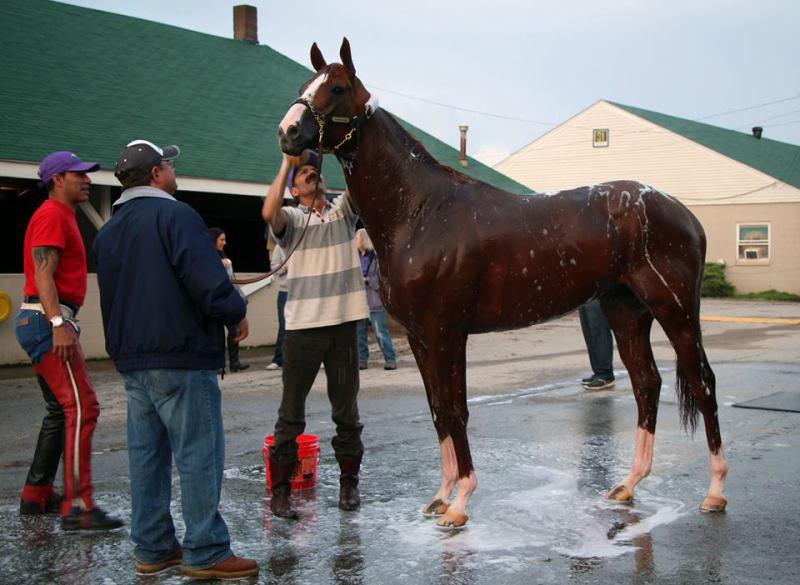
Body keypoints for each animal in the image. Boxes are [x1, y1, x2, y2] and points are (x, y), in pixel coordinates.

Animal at [278, 38, 728, 528]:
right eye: (303, 86)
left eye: (337, 88)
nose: (287, 132)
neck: (420, 211)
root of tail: (682, 212)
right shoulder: (419, 338)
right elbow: (438, 411)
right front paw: (441, 495)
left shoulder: (447, 333)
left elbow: (456, 410)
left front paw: (459, 505)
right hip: (625, 312)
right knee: (647, 384)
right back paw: (628, 485)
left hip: (676, 311)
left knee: (703, 384)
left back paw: (715, 492)